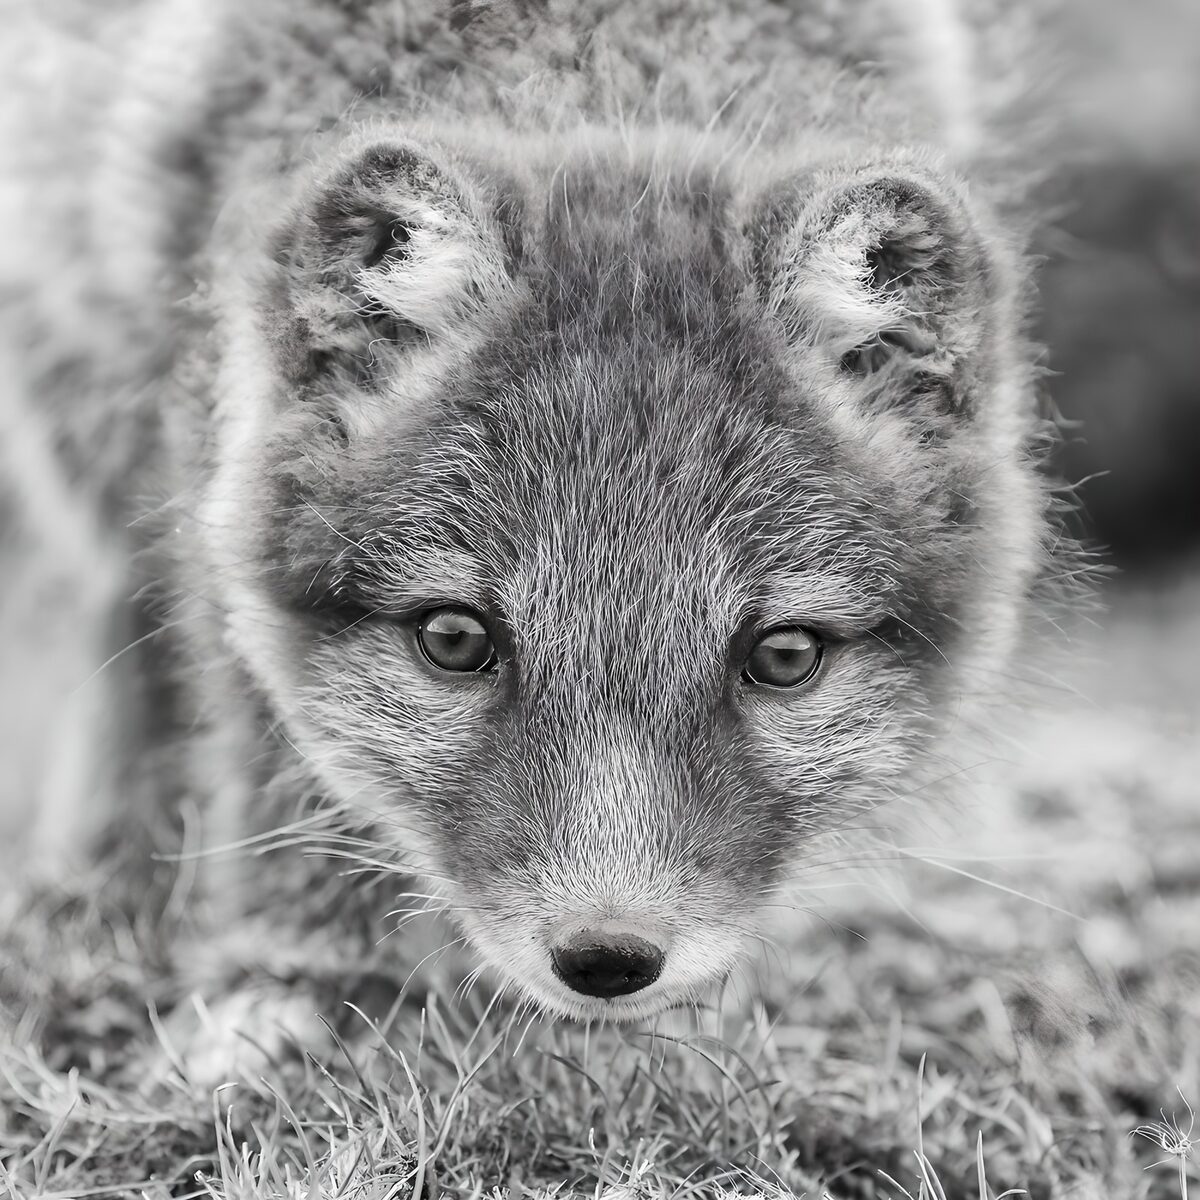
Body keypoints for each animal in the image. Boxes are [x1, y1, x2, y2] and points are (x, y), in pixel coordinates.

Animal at [2, 0, 1054, 1083]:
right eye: (454, 639)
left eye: (785, 657)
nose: (607, 958)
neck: (600, 48)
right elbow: (276, 751)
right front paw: (300, 975)